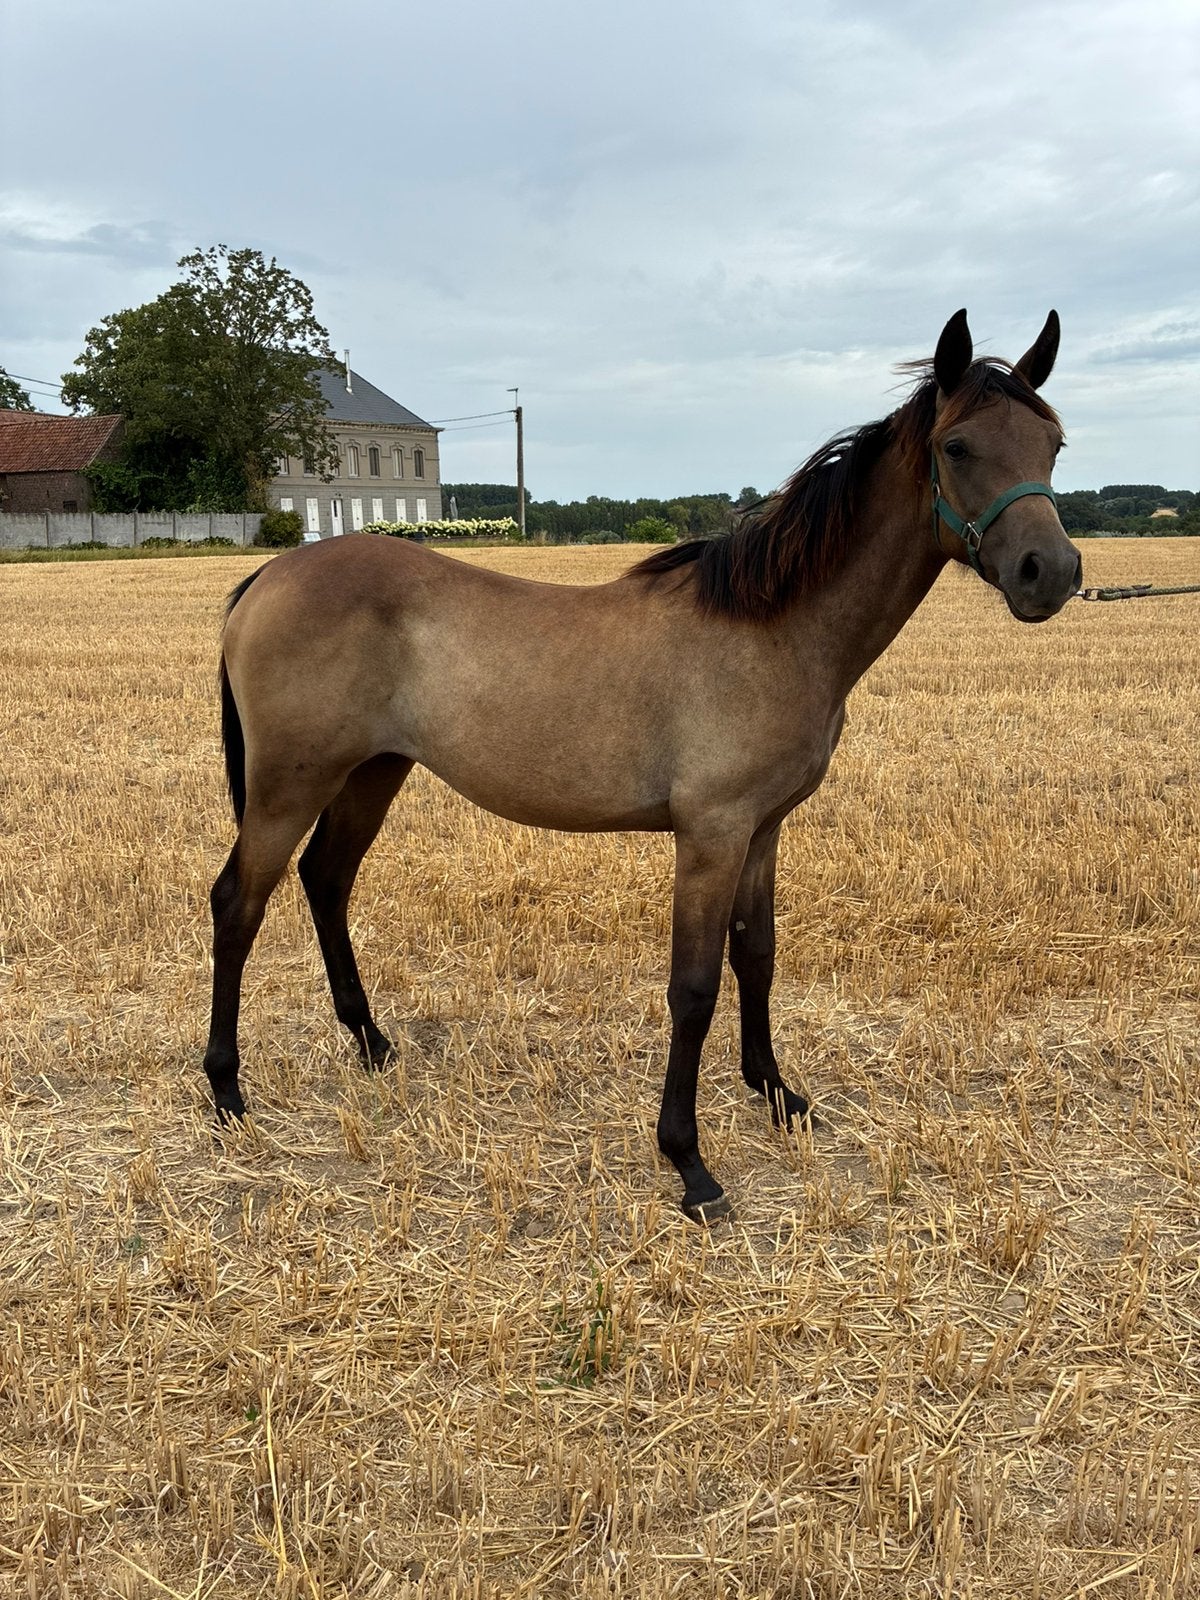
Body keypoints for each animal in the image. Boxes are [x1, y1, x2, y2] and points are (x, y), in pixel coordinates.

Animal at [203, 309, 1080, 1221]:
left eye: (1052, 443)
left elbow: (756, 956)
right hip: (288, 786)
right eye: (958, 447)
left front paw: (777, 1094)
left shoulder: (762, 830)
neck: (775, 629)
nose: (1050, 573)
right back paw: (227, 1092)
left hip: (372, 771)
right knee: (238, 904)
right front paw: (689, 1163)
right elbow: (693, 989)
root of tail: (268, 574)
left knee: (326, 881)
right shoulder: (710, 835)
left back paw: (371, 1043)